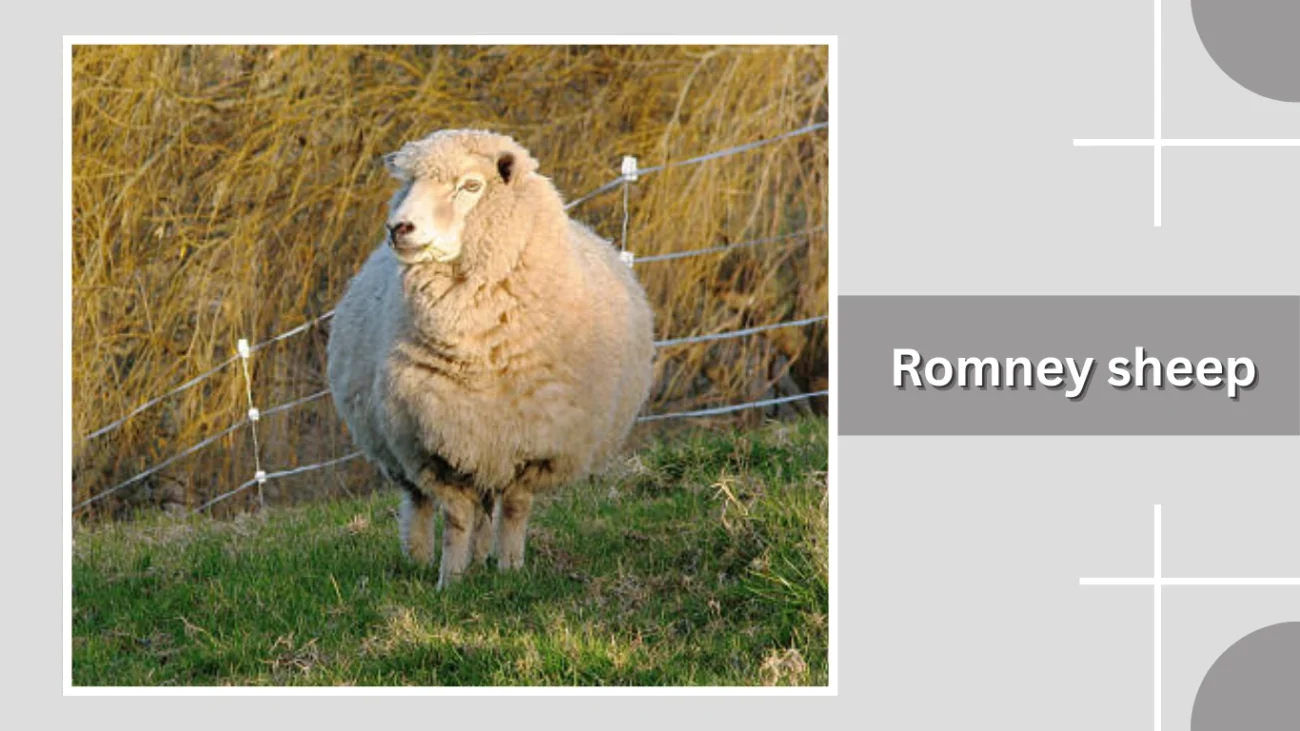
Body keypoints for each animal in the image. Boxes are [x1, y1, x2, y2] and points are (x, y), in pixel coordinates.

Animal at [326, 129, 655, 588]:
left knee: (485, 505)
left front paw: (510, 570)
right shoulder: (434, 442)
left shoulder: (534, 439)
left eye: (470, 186)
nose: (399, 228)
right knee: (419, 503)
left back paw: (483, 559)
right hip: (397, 441)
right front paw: (449, 581)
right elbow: (455, 518)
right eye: (408, 184)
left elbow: (513, 509)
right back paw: (418, 559)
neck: (480, 352)